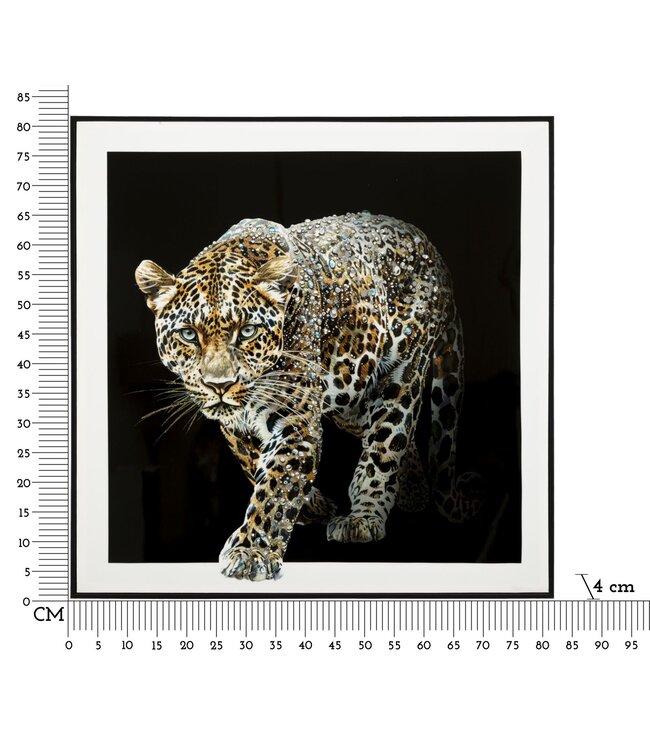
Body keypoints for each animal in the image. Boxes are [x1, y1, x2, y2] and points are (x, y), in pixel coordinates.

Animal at [135, 212, 481, 581]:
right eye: (188, 334)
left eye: (247, 332)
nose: (220, 385)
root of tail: (433, 251)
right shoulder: (236, 427)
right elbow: (254, 462)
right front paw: (312, 506)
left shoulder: (296, 421)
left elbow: (276, 485)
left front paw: (251, 551)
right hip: (350, 394)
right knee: (398, 437)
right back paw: (413, 492)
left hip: (402, 373)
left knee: (387, 441)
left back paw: (364, 516)